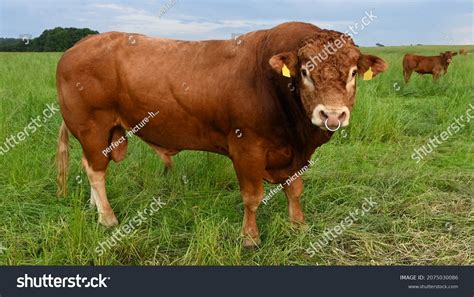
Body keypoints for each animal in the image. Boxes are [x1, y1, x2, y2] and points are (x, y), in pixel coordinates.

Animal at [55, 22, 386, 246]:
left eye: (353, 73)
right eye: (305, 71)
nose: (332, 115)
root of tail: (80, 44)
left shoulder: (296, 155)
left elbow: (295, 190)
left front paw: (299, 226)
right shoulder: (246, 147)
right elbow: (252, 197)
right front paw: (250, 237)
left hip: (105, 132)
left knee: (91, 166)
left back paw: (94, 209)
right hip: (92, 126)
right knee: (96, 171)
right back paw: (108, 219)